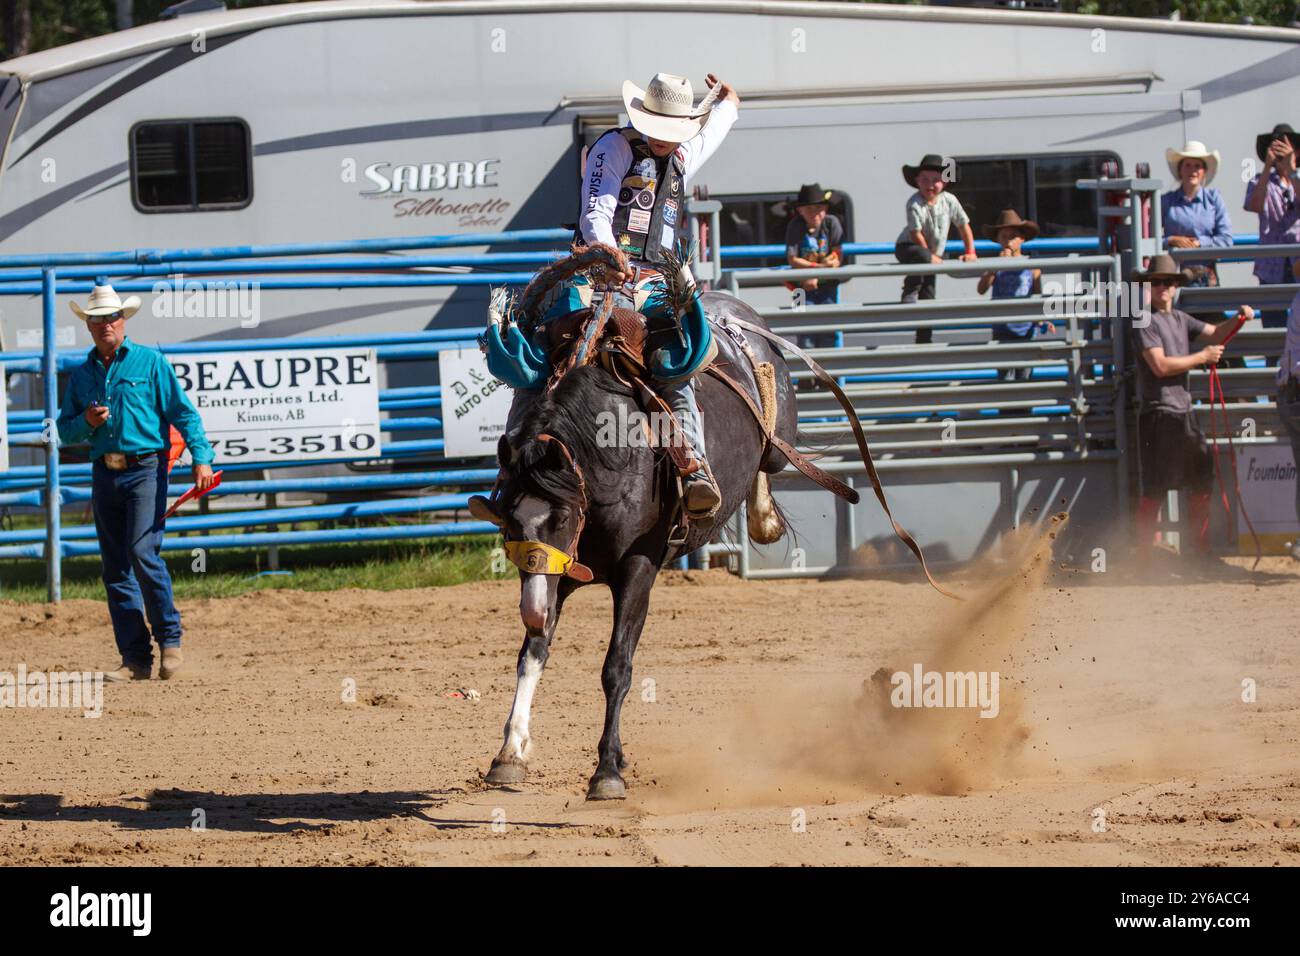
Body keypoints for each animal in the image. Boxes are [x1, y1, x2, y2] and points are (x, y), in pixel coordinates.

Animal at [467, 243, 946, 796]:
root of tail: (731, 311)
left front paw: (607, 770)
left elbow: (616, 667)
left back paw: (752, 513)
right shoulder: (554, 574)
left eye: (563, 516)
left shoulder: (638, 569)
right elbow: (534, 652)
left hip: (775, 441)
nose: (532, 610)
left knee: (770, 459)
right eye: (509, 523)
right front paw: (509, 752)